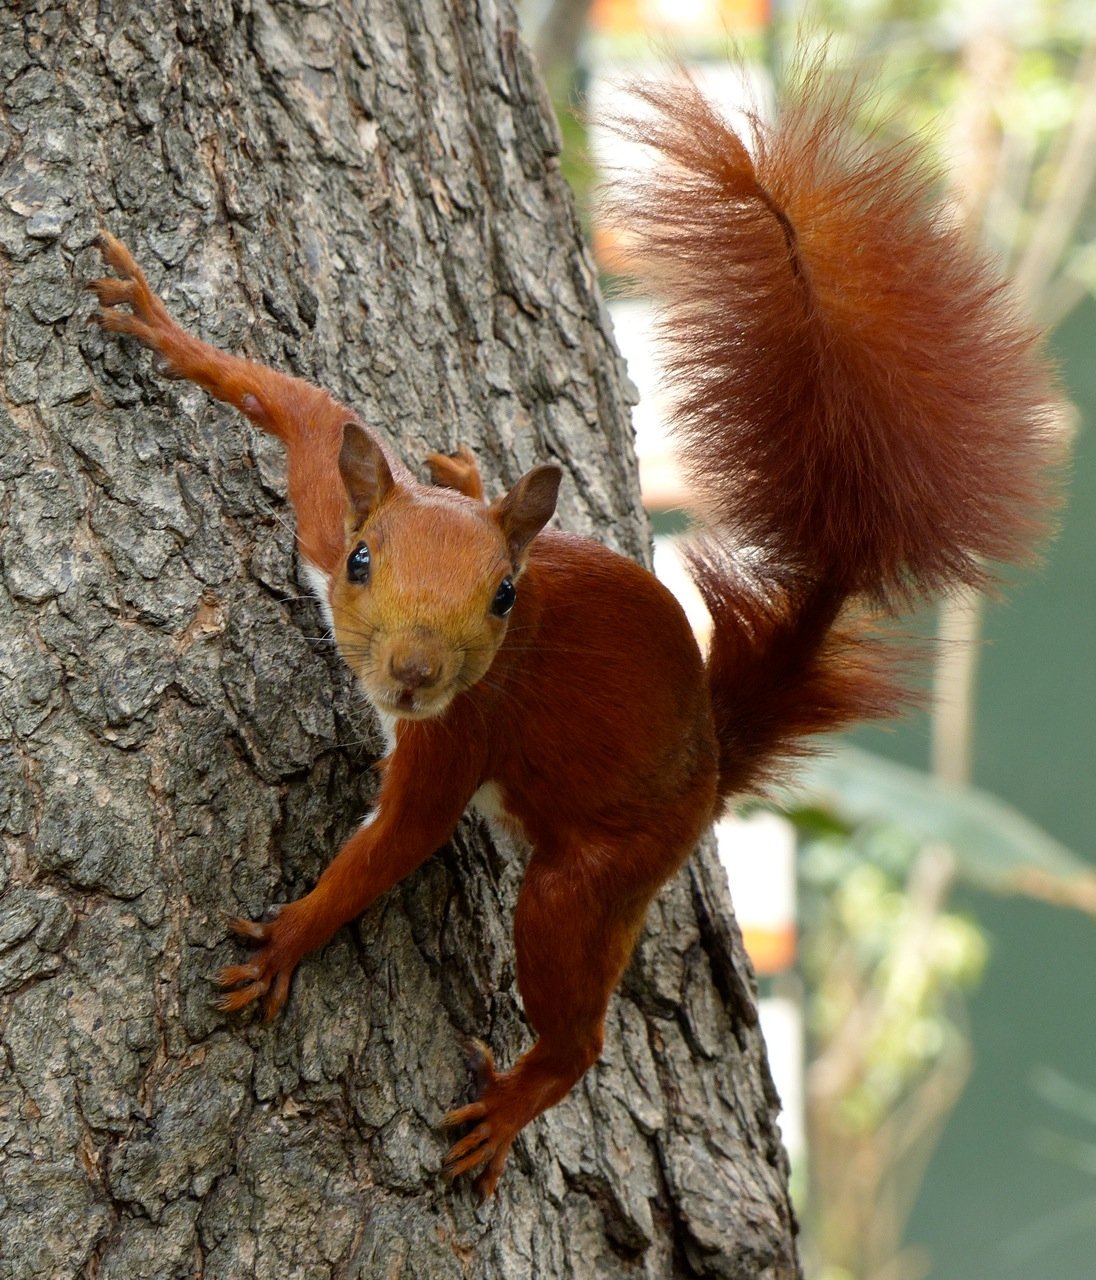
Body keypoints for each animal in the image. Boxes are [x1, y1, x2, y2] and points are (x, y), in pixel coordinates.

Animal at [89, 64, 1056, 1199]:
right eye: (364, 561)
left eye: (503, 598)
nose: (413, 674)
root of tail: (708, 769)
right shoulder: (329, 514)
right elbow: (302, 408)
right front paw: (163, 327)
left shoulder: (461, 733)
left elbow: (397, 845)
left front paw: (290, 938)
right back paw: (472, 472)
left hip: (588, 877)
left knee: (578, 1028)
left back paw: (517, 1099)